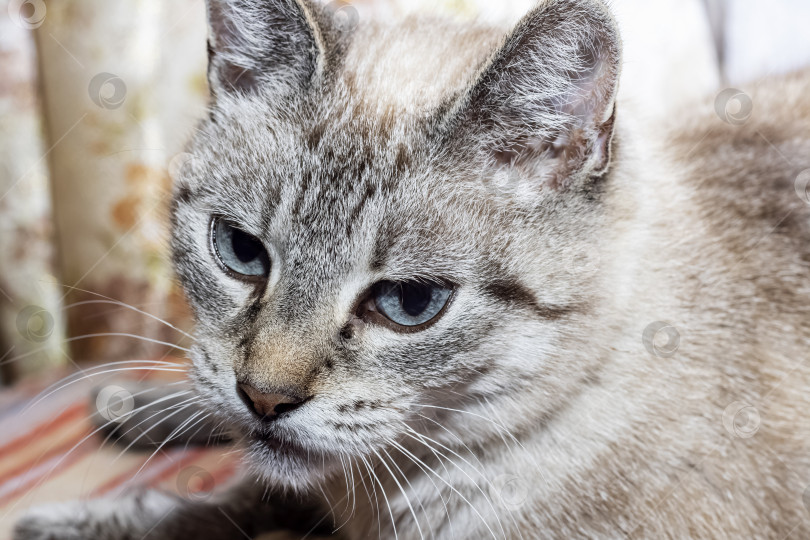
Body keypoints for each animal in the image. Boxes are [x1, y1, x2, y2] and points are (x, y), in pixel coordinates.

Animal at [12, 0, 808, 536]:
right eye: (240, 251)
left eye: (410, 303)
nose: (263, 399)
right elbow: (231, 498)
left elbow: (248, 499)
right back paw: (136, 404)